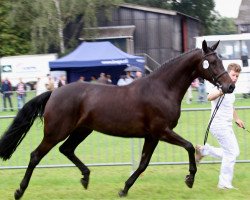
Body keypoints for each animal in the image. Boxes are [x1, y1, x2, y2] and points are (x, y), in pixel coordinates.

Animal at [0, 40, 234, 198]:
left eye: (221, 60)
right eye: (212, 62)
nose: (230, 86)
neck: (162, 89)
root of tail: (54, 92)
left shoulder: (152, 136)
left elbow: (143, 164)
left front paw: (124, 189)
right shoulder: (162, 131)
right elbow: (188, 146)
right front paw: (190, 179)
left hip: (82, 130)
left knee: (66, 149)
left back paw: (85, 177)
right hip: (56, 132)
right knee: (35, 155)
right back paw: (19, 191)